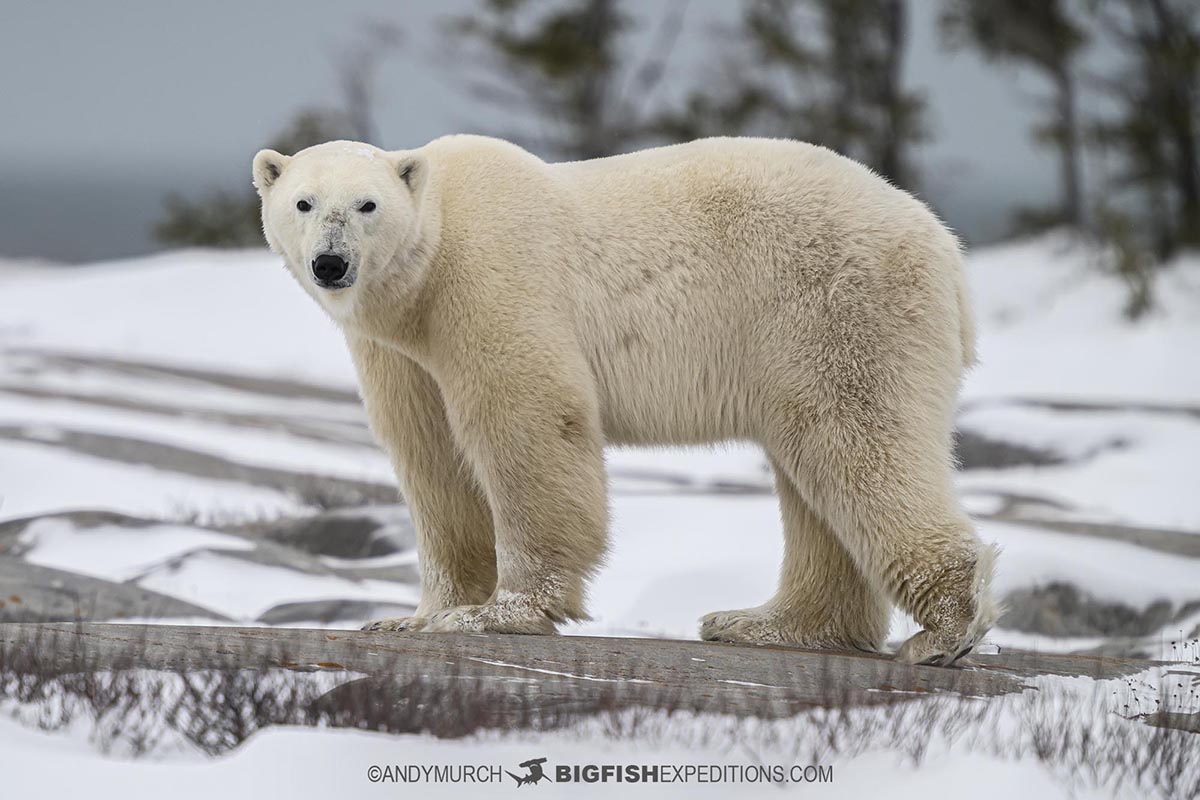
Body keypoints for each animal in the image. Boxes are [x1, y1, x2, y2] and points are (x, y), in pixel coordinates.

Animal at [253, 135, 999, 665]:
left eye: (367, 205)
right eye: (304, 203)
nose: (331, 264)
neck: (429, 264)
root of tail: (944, 246)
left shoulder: (492, 281)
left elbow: (529, 421)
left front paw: (500, 612)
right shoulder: (403, 354)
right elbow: (430, 458)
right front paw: (413, 615)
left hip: (835, 304)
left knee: (855, 439)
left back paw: (945, 631)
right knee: (816, 477)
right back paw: (765, 622)